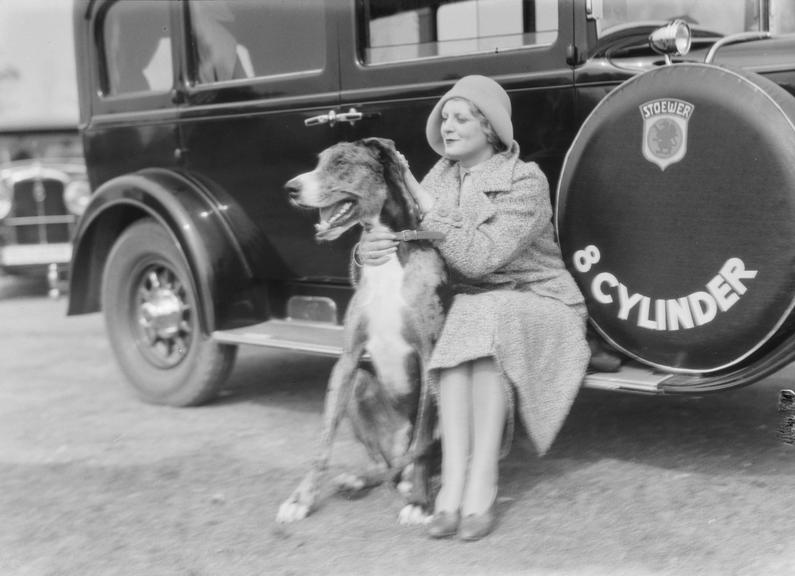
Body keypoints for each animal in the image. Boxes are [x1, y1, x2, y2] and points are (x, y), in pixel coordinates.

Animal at [276, 137, 448, 524]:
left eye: (341, 162)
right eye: (319, 161)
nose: (290, 188)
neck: (391, 248)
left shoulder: (430, 356)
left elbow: (423, 440)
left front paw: (420, 503)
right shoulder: (348, 359)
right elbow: (324, 441)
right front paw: (301, 499)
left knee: (424, 450)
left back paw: (420, 485)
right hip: (360, 384)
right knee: (384, 463)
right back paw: (362, 478)